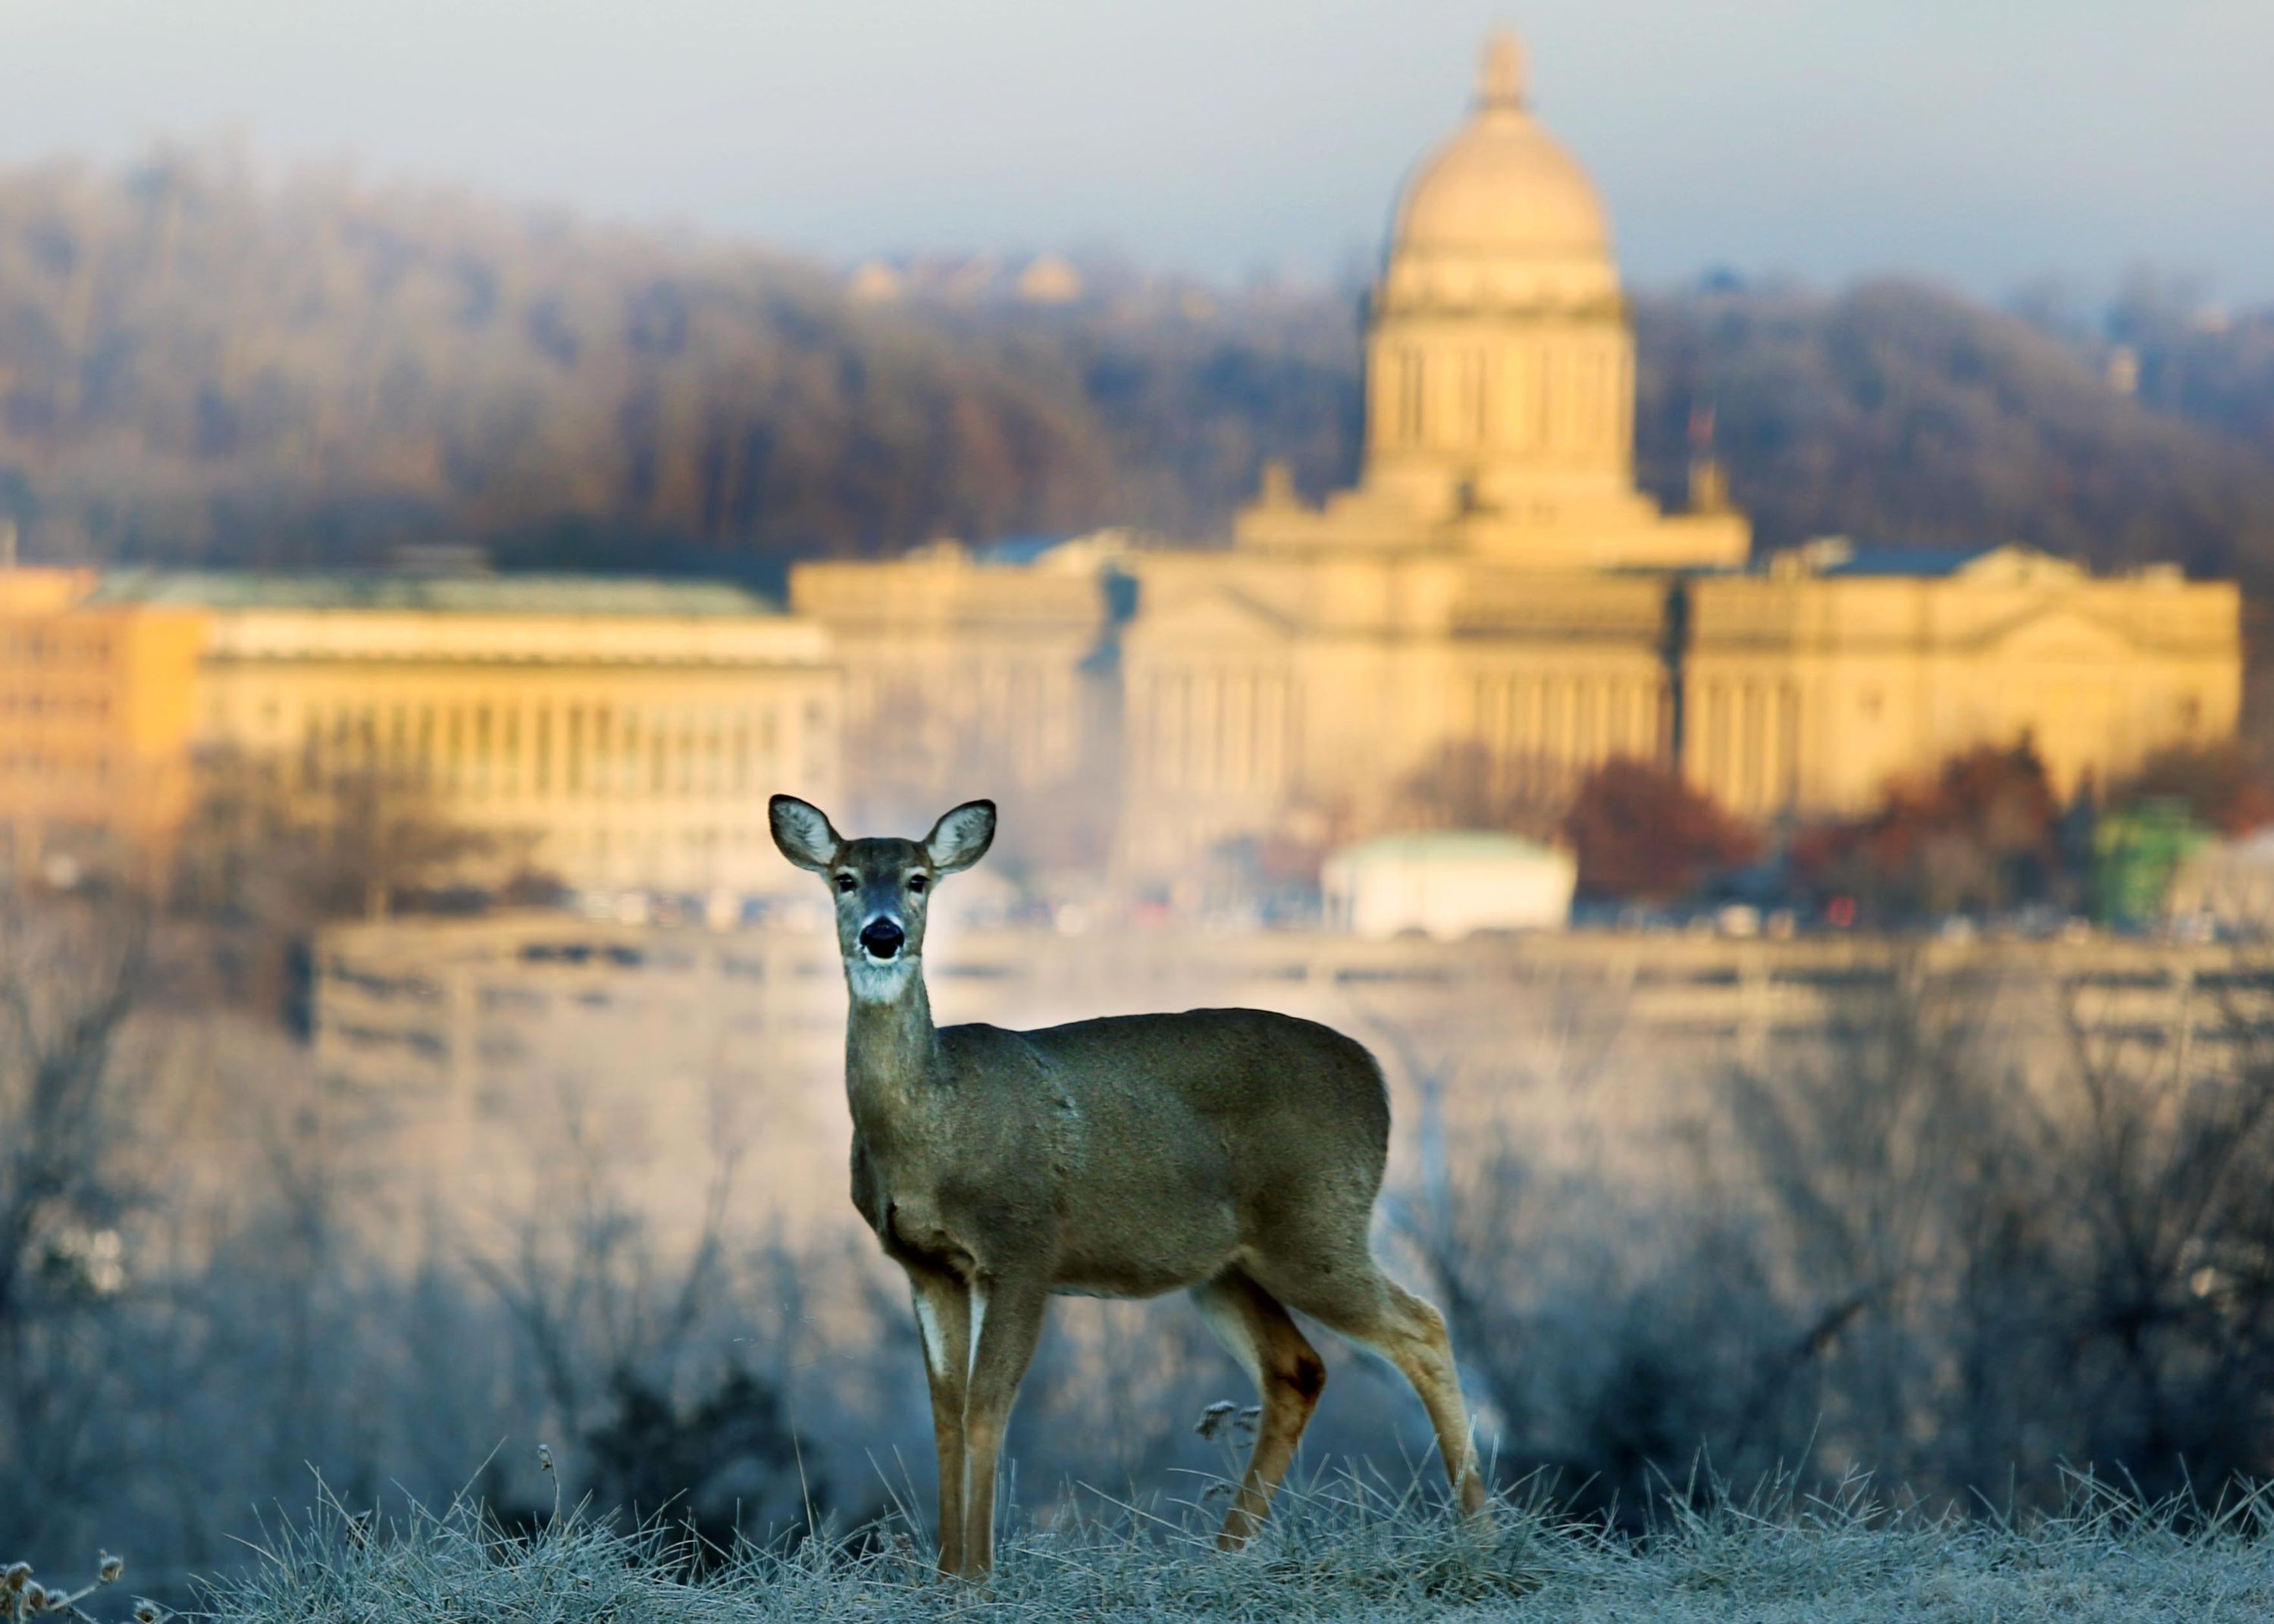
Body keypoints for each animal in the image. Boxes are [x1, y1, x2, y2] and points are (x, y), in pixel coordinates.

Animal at [773, 791, 1492, 1573]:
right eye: (844, 878)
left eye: (918, 879)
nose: (883, 934)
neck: (937, 1128)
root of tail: (1378, 1076)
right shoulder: (925, 1265)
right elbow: (945, 1413)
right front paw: (943, 1576)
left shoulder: (1023, 1246)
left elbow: (987, 1407)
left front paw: (979, 1579)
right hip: (1226, 1265)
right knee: (1297, 1368)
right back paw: (1223, 1553)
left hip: (1316, 1226)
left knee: (1423, 1325)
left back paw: (1480, 1532)